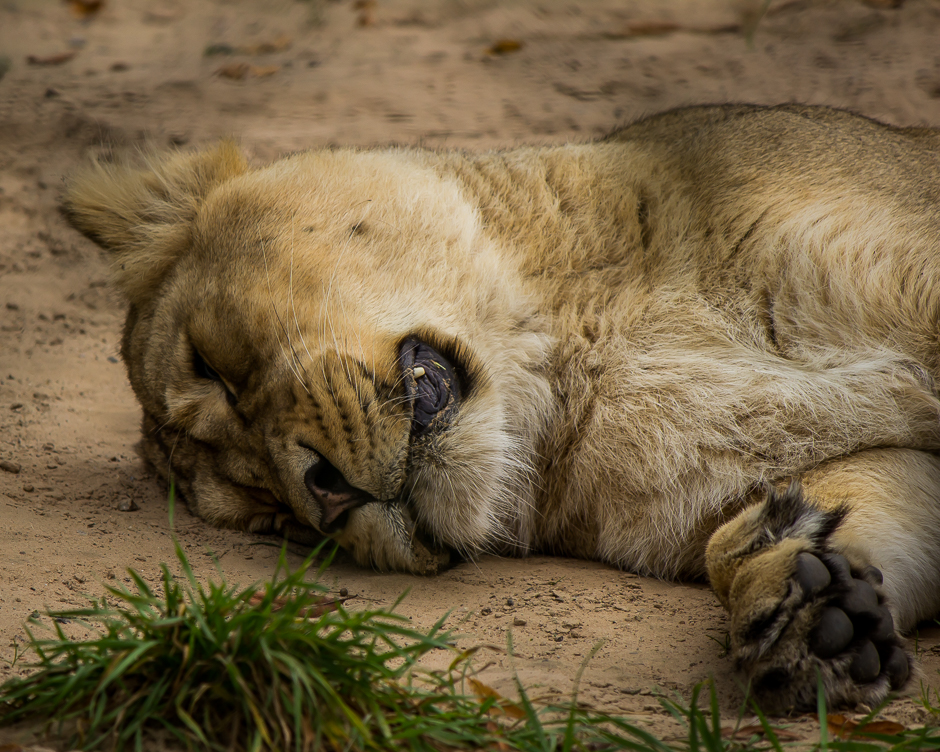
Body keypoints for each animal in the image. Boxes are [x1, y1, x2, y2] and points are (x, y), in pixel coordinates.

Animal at [64, 104, 940, 711]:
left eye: (212, 364)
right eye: (271, 518)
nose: (327, 493)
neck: (585, 363)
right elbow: (857, 497)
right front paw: (811, 603)